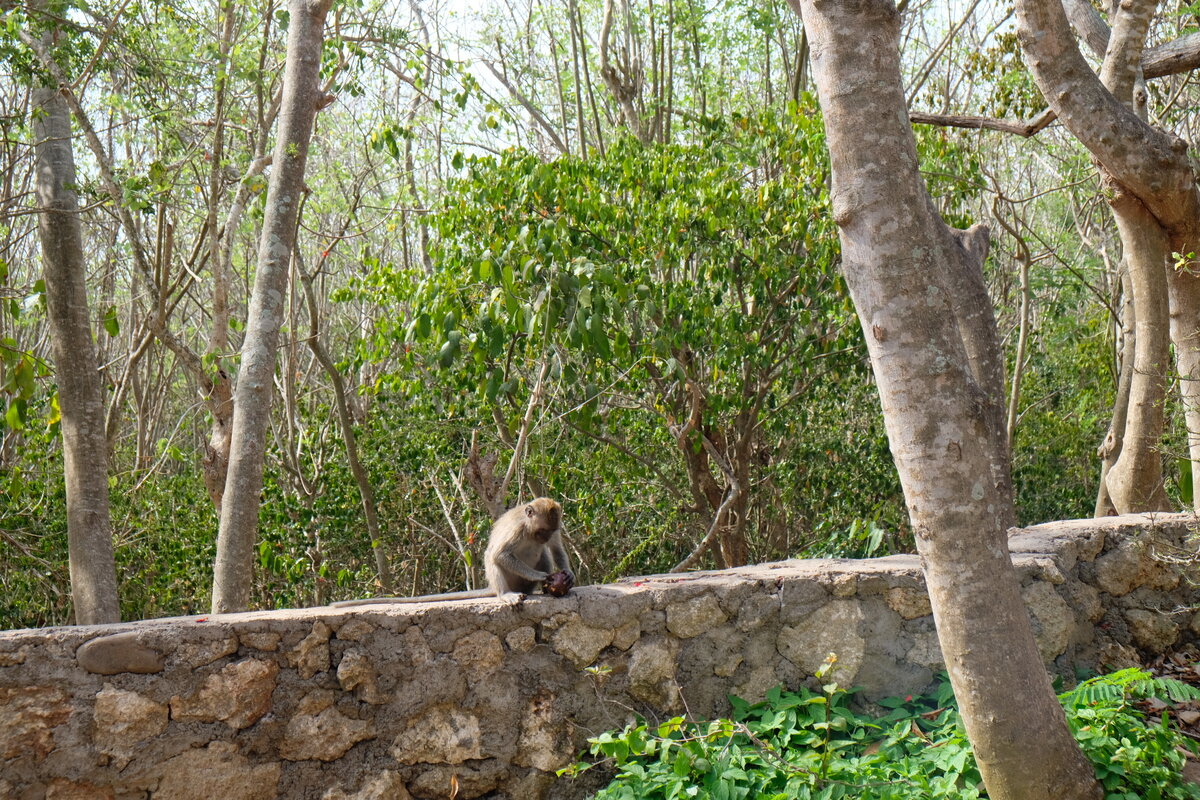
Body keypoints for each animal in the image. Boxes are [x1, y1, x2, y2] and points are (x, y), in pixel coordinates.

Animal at [328, 496, 571, 609]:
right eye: (541, 531)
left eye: (550, 532)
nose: (544, 538)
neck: (529, 529)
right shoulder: (518, 529)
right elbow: (500, 555)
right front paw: (542, 576)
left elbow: (556, 549)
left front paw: (567, 574)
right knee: (493, 560)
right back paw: (506, 594)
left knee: (544, 555)